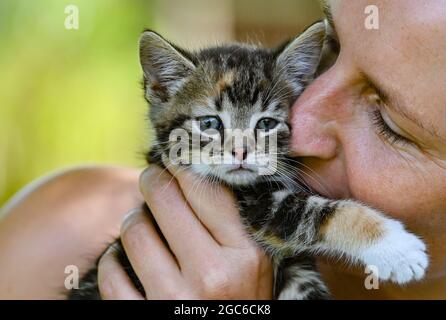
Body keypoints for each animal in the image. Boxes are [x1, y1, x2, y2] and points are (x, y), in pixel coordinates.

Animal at [69, 21, 428, 300]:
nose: (241, 151)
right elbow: (320, 212)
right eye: (210, 123)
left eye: (266, 124)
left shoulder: (295, 269)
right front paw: (398, 247)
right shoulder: (261, 207)